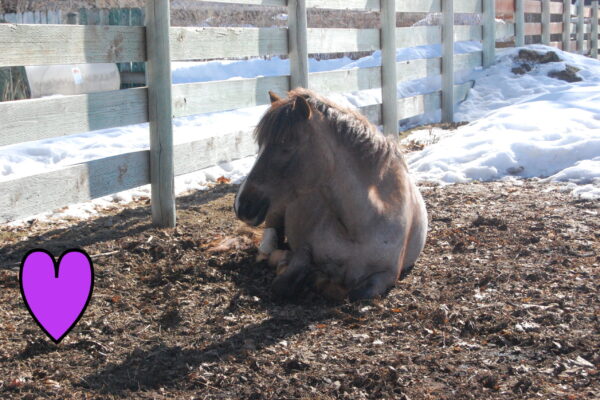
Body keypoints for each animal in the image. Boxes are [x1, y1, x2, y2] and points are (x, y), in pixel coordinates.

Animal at [233, 88, 426, 300]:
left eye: (287, 146)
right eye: (260, 145)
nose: (242, 205)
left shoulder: (387, 275)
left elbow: (358, 293)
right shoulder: (304, 251)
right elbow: (282, 284)